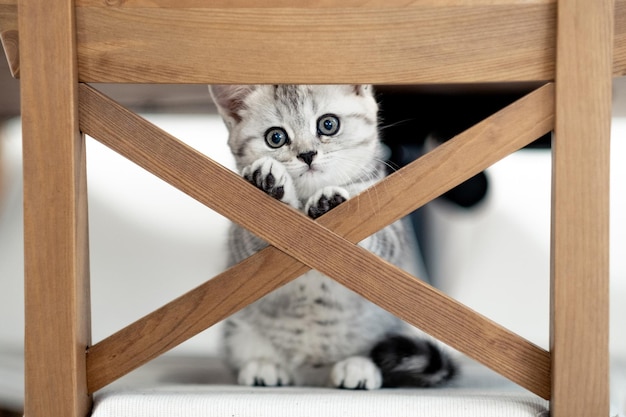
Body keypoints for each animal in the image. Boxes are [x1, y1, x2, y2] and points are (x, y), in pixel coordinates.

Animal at [210, 84, 454, 390]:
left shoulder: (392, 233)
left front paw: (331, 205)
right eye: (275, 137)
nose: (307, 154)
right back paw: (264, 366)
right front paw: (268, 185)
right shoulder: (241, 242)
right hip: (238, 330)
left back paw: (357, 367)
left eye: (328, 124)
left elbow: (373, 239)